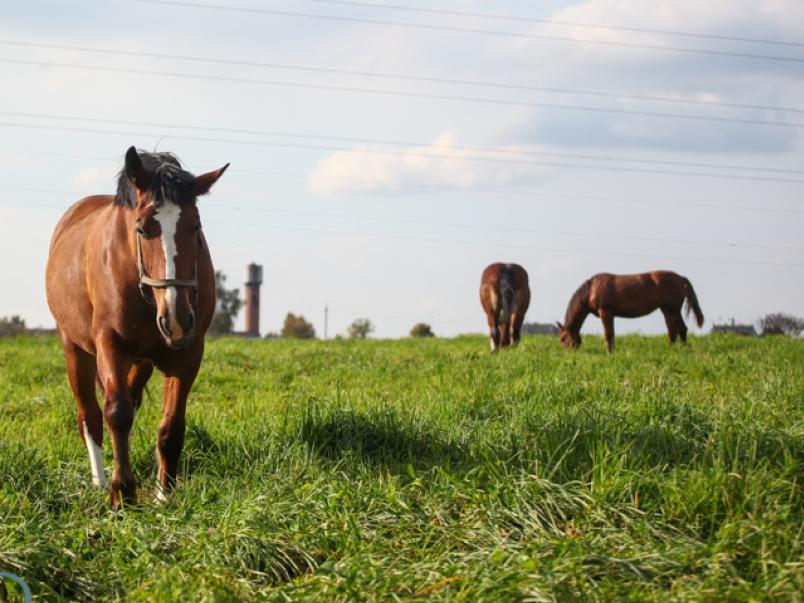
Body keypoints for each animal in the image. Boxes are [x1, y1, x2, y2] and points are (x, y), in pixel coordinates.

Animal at [45, 147, 228, 510]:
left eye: (196, 226)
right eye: (141, 228)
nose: (175, 318)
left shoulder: (188, 354)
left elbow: (171, 426)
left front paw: (163, 494)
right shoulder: (109, 344)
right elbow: (116, 413)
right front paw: (122, 493)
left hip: (141, 361)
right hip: (75, 349)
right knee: (91, 416)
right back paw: (100, 482)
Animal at [560, 270, 704, 352]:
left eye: (562, 338)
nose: (567, 353)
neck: (592, 289)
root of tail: (681, 278)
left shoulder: (605, 312)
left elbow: (608, 334)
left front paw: (610, 352)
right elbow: (611, 334)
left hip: (673, 309)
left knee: (682, 329)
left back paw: (683, 349)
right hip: (667, 310)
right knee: (672, 331)